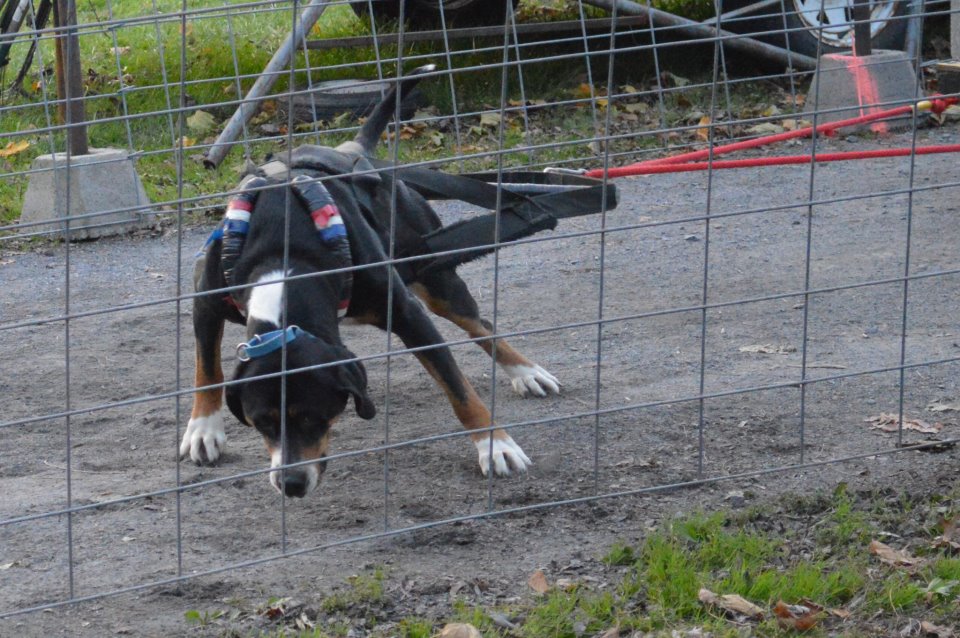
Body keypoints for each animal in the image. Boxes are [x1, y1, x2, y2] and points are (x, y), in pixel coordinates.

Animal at [178, 65, 564, 500]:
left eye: (314, 418)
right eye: (262, 422)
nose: (291, 484)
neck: (285, 257)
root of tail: (352, 148)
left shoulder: (410, 315)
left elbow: (459, 389)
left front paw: (495, 445)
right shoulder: (206, 298)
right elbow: (207, 369)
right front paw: (203, 429)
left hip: (433, 273)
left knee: (481, 325)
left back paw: (526, 372)